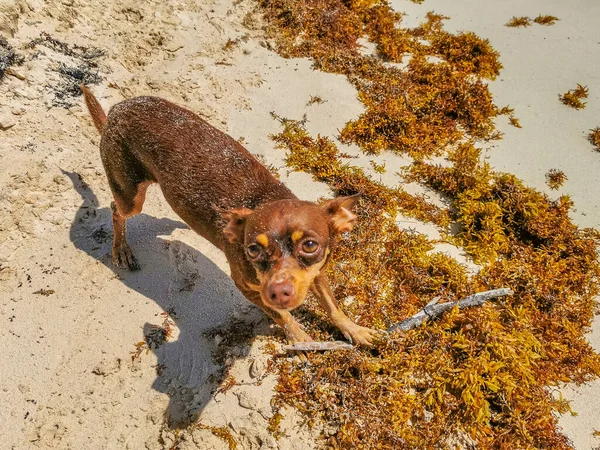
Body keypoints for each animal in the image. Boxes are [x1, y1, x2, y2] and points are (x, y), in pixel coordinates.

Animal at [83, 88, 380, 348]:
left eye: (309, 245)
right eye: (253, 250)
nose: (279, 292)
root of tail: (115, 111)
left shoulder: (317, 272)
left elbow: (332, 306)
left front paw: (353, 329)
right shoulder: (248, 288)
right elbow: (283, 316)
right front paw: (300, 338)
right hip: (130, 195)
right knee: (115, 208)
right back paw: (121, 248)